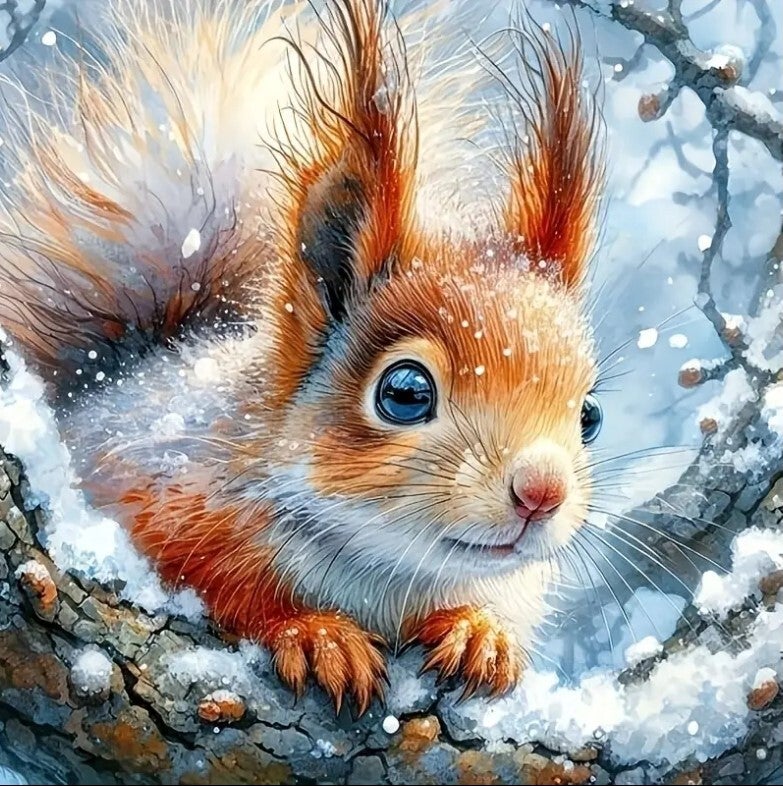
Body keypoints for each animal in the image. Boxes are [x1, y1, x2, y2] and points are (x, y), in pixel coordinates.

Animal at [0, 0, 605, 714]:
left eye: (590, 415)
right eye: (404, 393)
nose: (542, 492)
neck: (384, 568)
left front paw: (479, 632)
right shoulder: (162, 493)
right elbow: (221, 586)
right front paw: (316, 634)